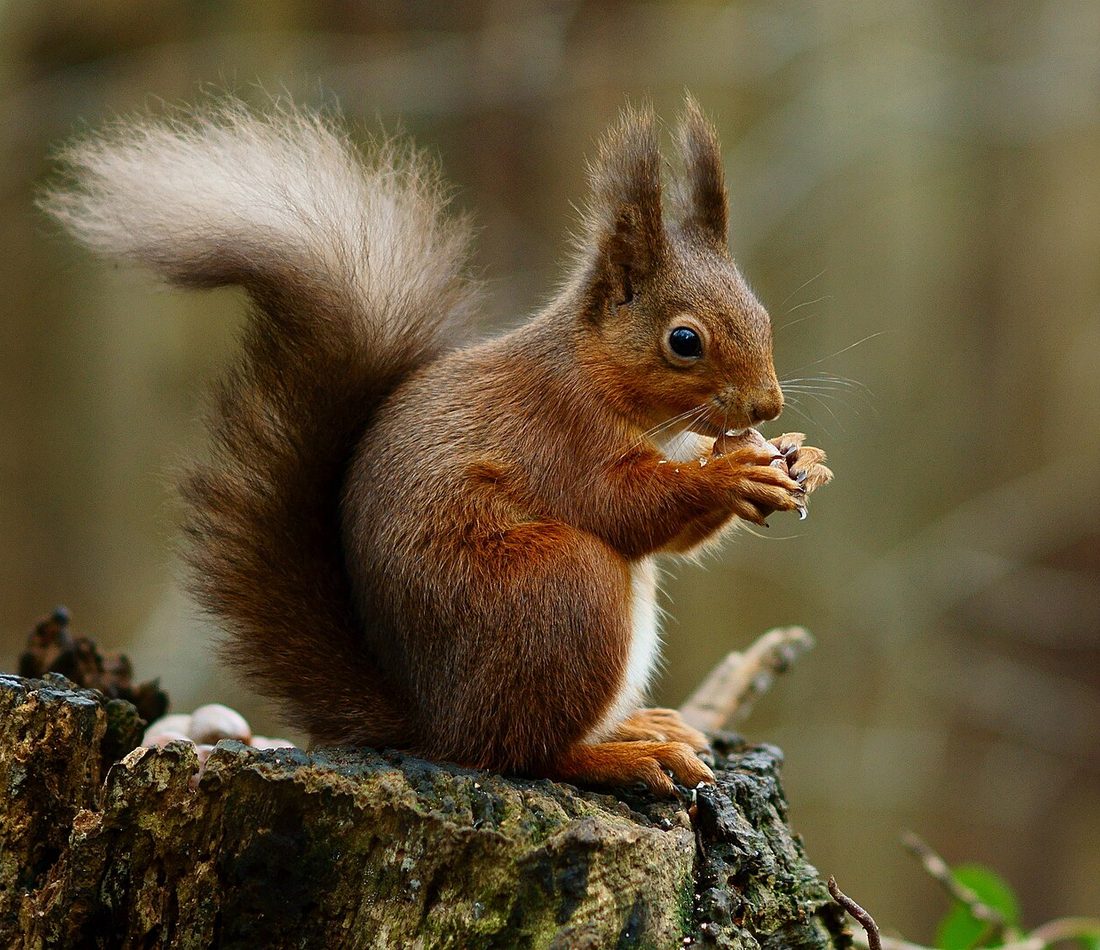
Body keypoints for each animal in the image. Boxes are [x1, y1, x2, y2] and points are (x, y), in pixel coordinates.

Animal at [42, 95, 832, 796]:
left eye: (761, 313)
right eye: (684, 341)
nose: (768, 404)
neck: (602, 380)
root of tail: (433, 724)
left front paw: (800, 458)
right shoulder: (558, 431)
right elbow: (622, 506)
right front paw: (733, 474)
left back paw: (641, 726)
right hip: (559, 589)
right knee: (522, 752)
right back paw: (621, 756)